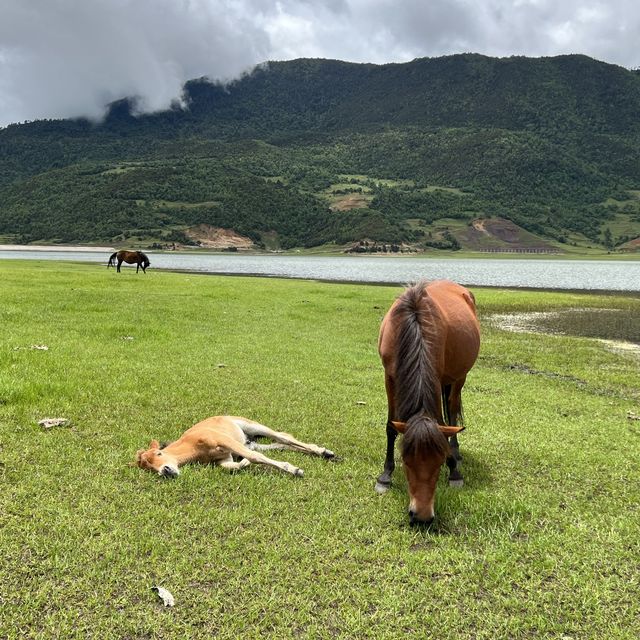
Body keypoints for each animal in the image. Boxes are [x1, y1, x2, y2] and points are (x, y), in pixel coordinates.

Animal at [135, 418, 336, 478]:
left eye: (159, 453)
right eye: (149, 468)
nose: (166, 471)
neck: (192, 446)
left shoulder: (224, 440)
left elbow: (254, 457)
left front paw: (295, 470)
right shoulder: (224, 458)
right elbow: (233, 465)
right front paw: (244, 462)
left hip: (251, 426)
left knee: (282, 436)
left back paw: (324, 452)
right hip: (254, 442)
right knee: (281, 444)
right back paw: (324, 452)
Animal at [376, 278, 480, 524]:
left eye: (439, 462)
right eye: (406, 461)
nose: (422, 517)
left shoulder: (438, 376)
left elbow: (443, 423)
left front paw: (454, 471)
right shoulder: (389, 377)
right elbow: (390, 427)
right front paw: (385, 475)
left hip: (458, 377)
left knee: (452, 409)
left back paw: (456, 453)